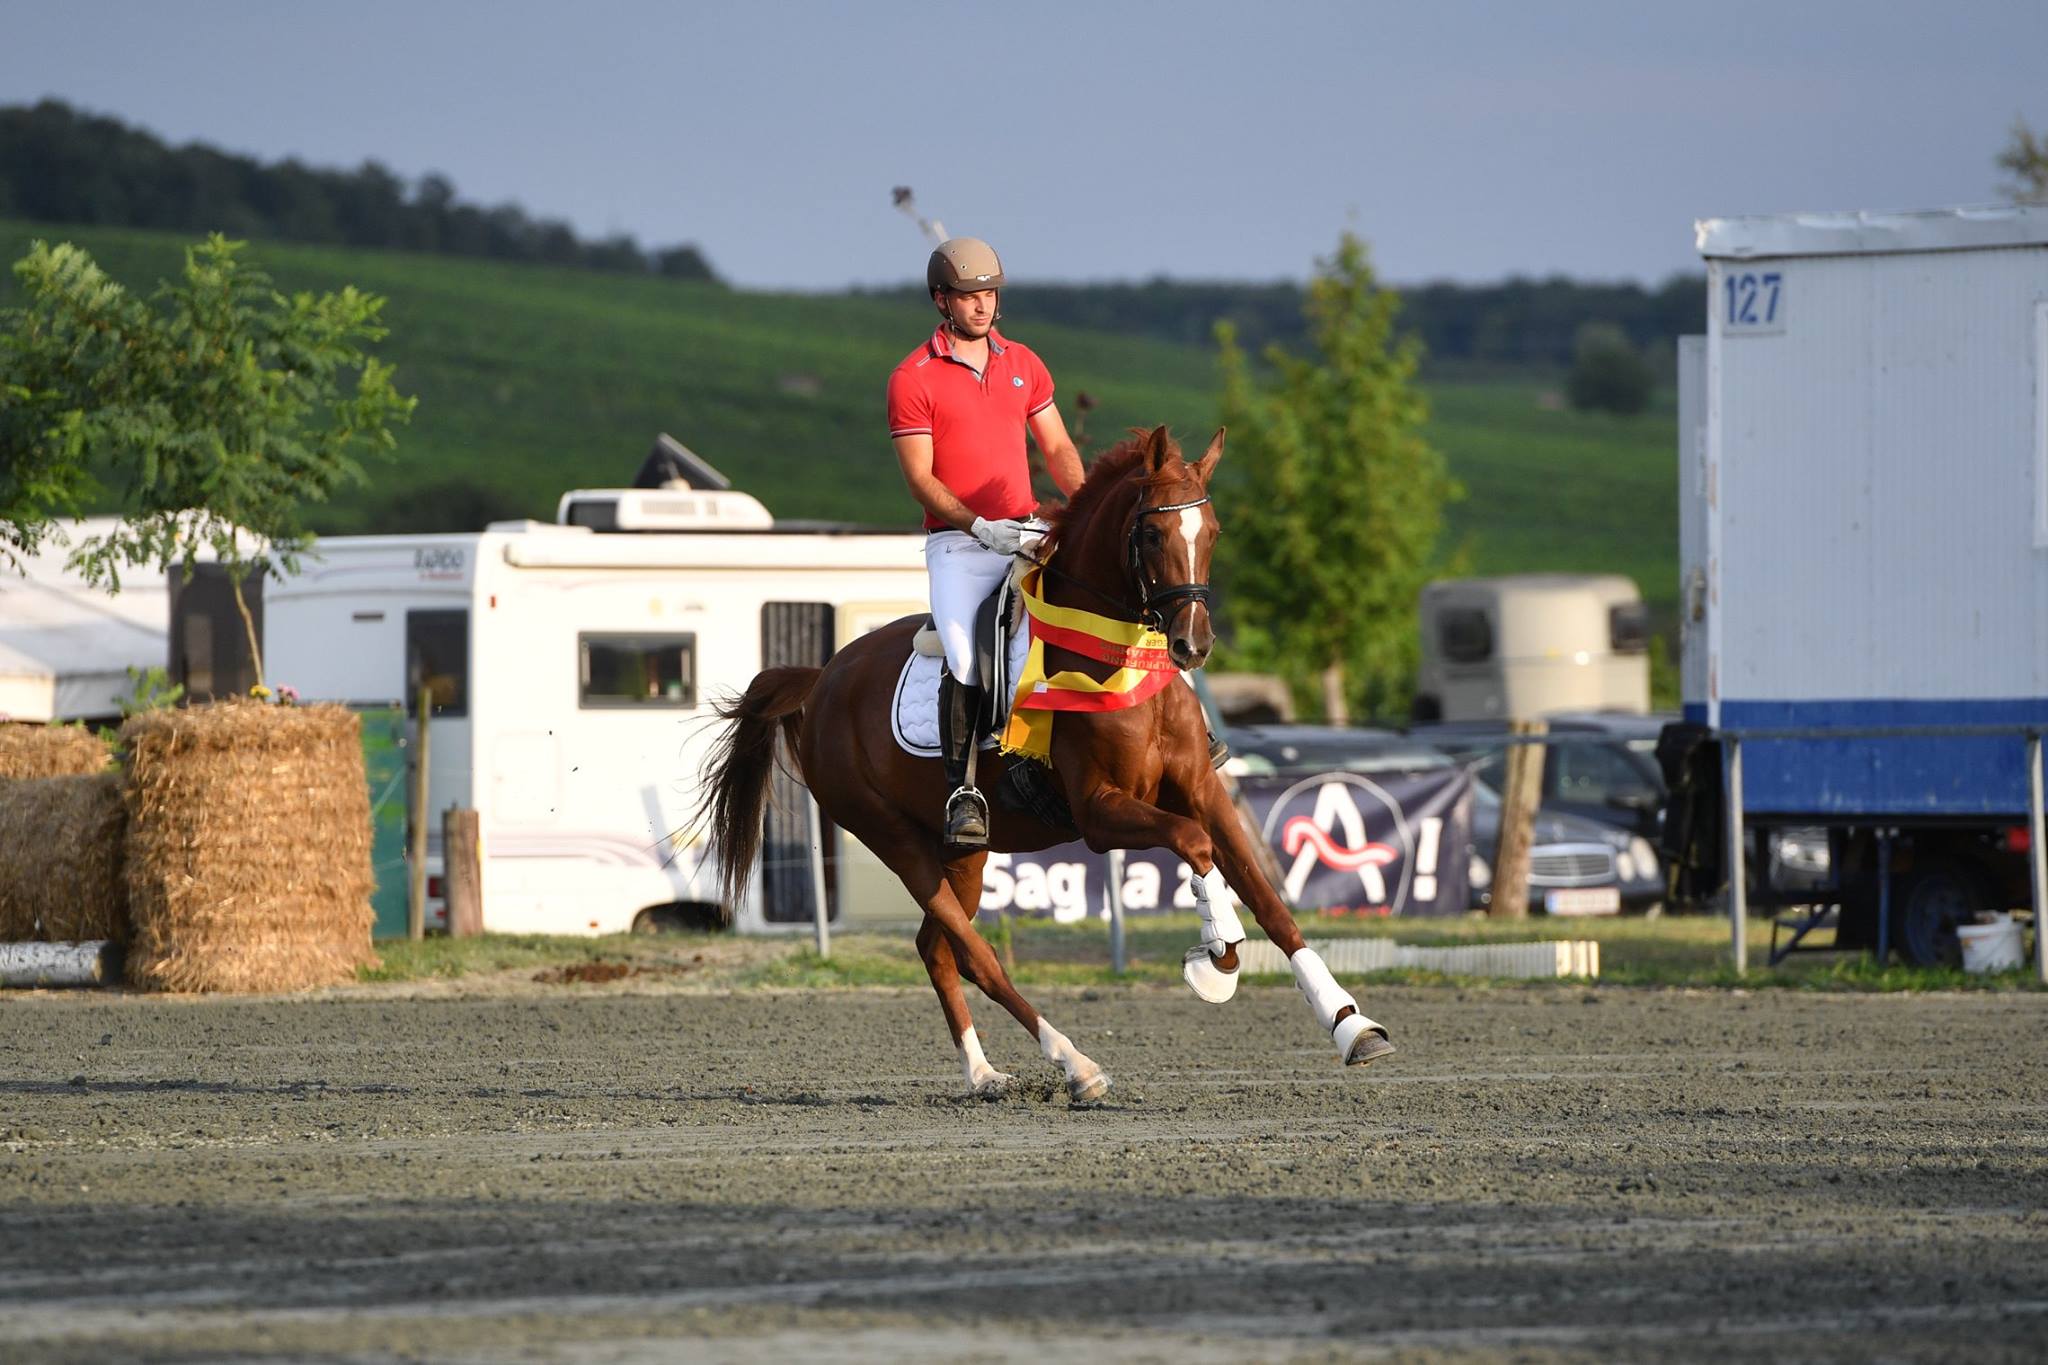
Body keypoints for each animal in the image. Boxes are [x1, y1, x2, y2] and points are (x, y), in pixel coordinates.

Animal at [700, 427, 1392, 1096]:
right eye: (1151, 533)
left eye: (1213, 532)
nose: (1193, 645)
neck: (1119, 658)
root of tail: (822, 679)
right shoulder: (1099, 811)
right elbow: (1193, 846)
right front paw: (1217, 960)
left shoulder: (1201, 789)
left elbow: (1268, 899)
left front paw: (1350, 1025)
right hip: (891, 836)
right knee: (975, 954)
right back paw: (1074, 1064)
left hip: (962, 849)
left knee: (937, 948)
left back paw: (983, 1075)